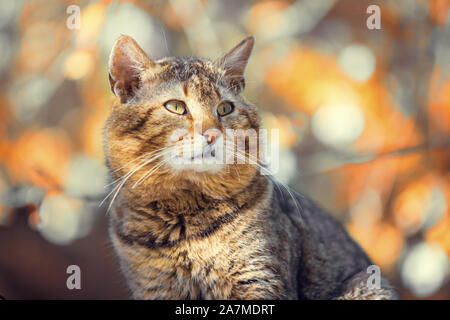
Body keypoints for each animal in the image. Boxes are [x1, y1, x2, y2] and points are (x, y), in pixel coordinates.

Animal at [104, 35, 398, 300]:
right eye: (175, 107)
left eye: (225, 108)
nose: (212, 134)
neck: (186, 219)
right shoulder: (156, 289)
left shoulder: (260, 279)